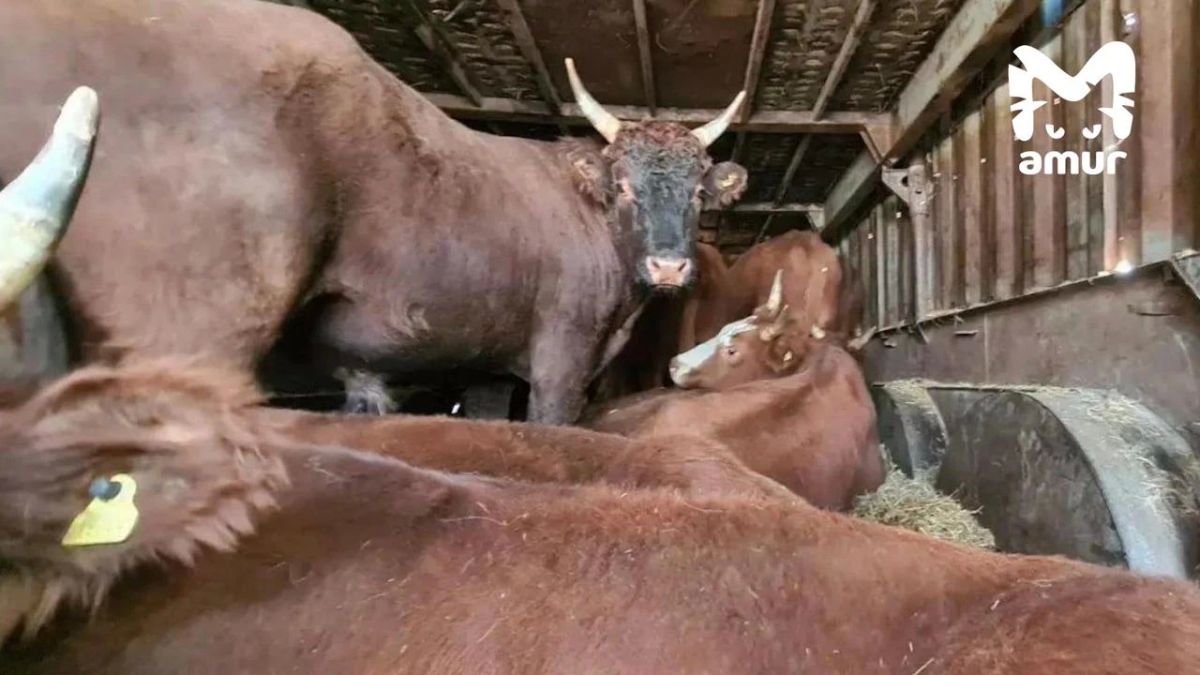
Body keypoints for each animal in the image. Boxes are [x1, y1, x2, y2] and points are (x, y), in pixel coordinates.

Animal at [0, 0, 749, 425]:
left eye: (698, 191)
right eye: (623, 185)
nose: (668, 265)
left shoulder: (485, 364)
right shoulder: (562, 354)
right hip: (190, 322)